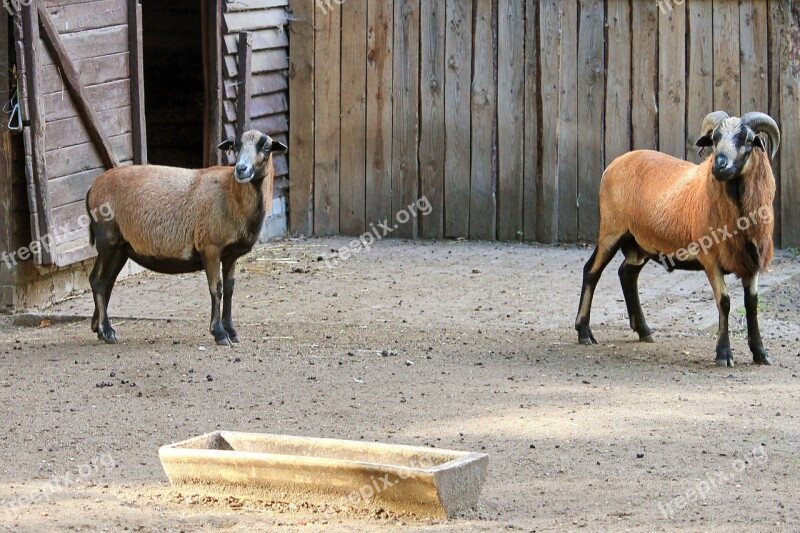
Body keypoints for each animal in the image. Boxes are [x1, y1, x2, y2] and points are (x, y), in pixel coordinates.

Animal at [86, 129, 288, 344]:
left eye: (265, 147)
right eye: (236, 146)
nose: (241, 169)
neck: (232, 193)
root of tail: (93, 186)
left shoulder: (230, 255)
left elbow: (230, 289)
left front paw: (232, 331)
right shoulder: (210, 247)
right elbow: (216, 289)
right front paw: (219, 333)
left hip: (121, 247)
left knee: (107, 280)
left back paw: (99, 328)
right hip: (107, 240)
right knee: (97, 280)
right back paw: (106, 331)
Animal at [576, 110, 780, 364]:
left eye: (747, 139)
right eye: (715, 138)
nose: (719, 165)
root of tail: (615, 163)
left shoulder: (751, 260)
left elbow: (752, 304)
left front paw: (761, 353)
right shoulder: (710, 258)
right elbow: (724, 301)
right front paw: (723, 354)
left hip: (641, 243)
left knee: (627, 274)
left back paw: (644, 330)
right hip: (611, 230)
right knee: (591, 271)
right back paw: (584, 332)